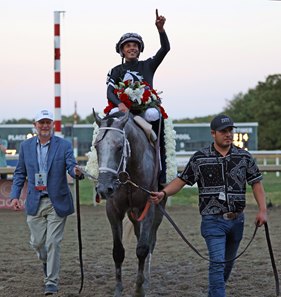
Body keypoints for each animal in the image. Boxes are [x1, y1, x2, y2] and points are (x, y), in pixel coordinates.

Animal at [93, 110, 166, 294]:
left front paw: (140, 288)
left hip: (158, 210)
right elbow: (118, 251)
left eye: (119, 147)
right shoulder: (113, 210)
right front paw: (118, 289)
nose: (103, 188)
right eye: (96, 146)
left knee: (150, 241)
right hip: (133, 214)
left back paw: (146, 279)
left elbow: (142, 248)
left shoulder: (149, 207)